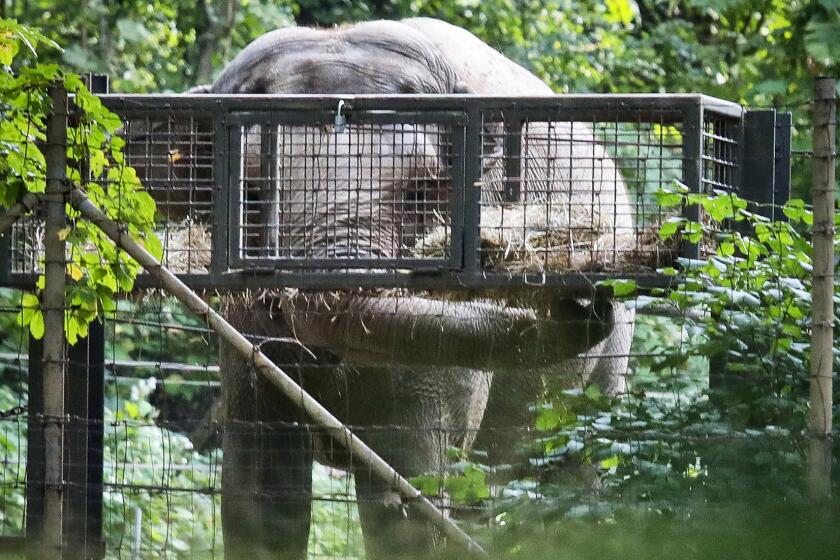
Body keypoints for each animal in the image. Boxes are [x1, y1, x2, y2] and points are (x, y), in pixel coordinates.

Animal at [156, 17, 632, 560]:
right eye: (252, 194)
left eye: (422, 191)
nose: (585, 297)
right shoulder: (243, 333)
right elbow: (260, 500)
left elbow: (408, 496)